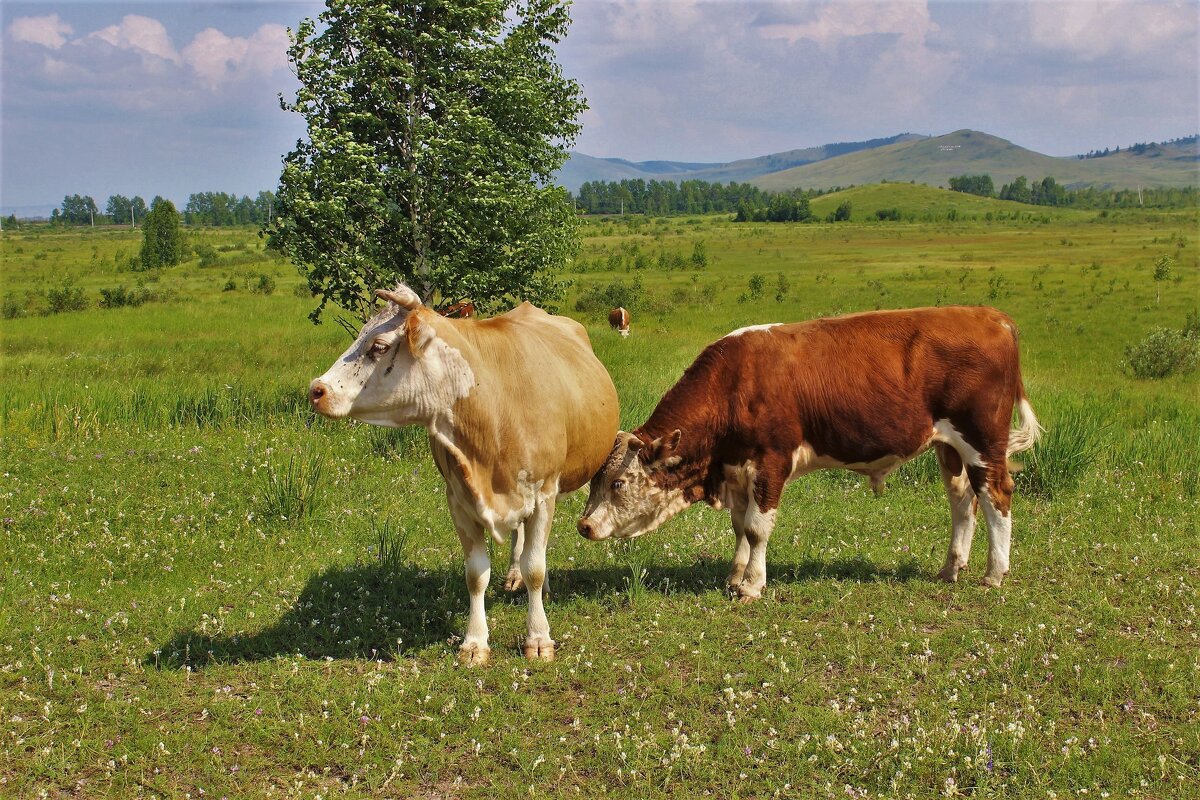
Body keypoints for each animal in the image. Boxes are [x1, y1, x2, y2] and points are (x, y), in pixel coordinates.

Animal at [309, 284, 619, 666]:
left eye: (378, 346)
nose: (316, 390)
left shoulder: (544, 492)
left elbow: (535, 566)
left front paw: (538, 636)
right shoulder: (458, 499)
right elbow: (476, 575)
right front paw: (475, 642)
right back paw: (512, 575)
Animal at [578, 307, 1041, 599]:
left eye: (618, 482)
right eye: (596, 480)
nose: (584, 526)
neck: (735, 382)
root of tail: (992, 316)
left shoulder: (771, 461)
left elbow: (757, 528)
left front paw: (752, 585)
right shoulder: (736, 468)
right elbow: (739, 527)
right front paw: (734, 576)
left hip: (982, 441)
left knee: (996, 496)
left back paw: (994, 573)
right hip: (949, 446)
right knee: (963, 501)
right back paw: (951, 568)